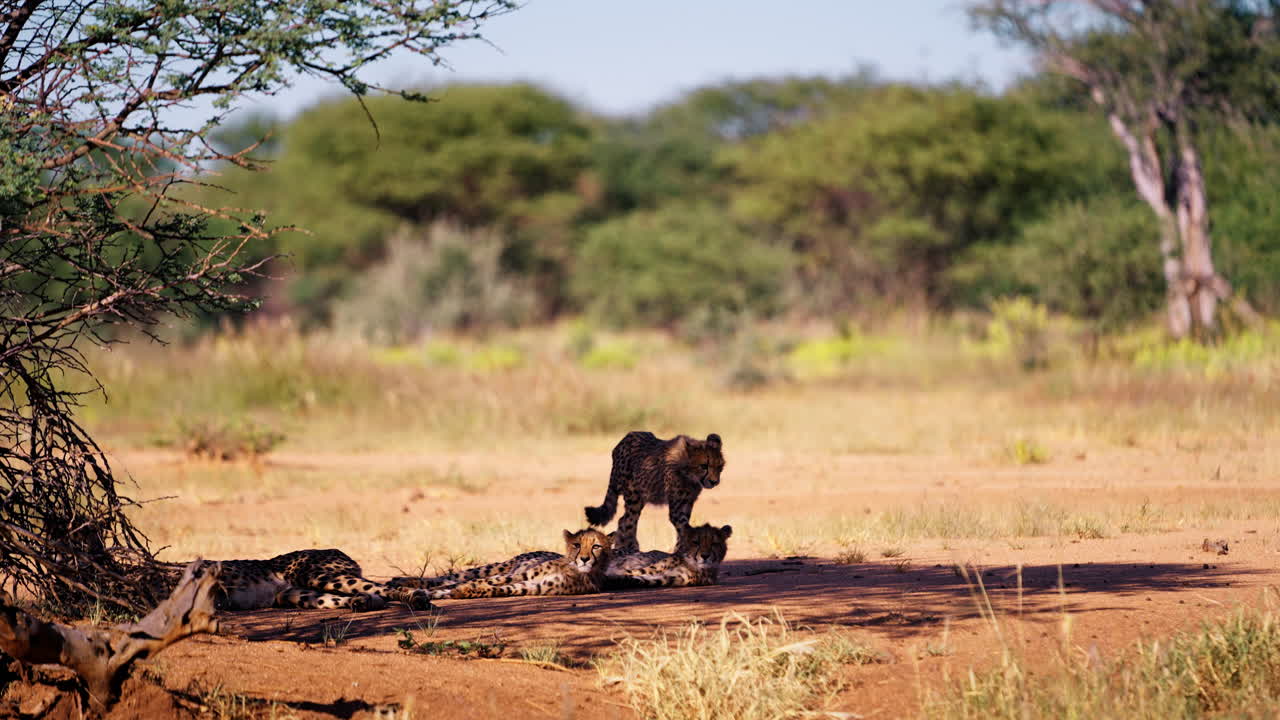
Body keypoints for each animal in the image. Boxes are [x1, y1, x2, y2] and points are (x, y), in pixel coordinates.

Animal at [391, 529, 611, 599]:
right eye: (577, 545)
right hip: (491, 567)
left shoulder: (535, 585)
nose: (584, 558)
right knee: (444, 579)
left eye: (596, 546)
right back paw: (399, 583)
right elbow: (486, 582)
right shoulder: (522, 575)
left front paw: (465, 591)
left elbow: (501, 588)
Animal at [584, 431, 725, 555]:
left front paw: (680, 548)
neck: (689, 475)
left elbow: (684, 526)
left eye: (719, 467)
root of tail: (624, 439)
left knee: (622, 519)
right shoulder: (677, 507)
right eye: (704, 466)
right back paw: (630, 547)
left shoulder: (687, 501)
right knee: (629, 519)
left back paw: (622, 545)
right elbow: (683, 526)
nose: (714, 482)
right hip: (633, 495)